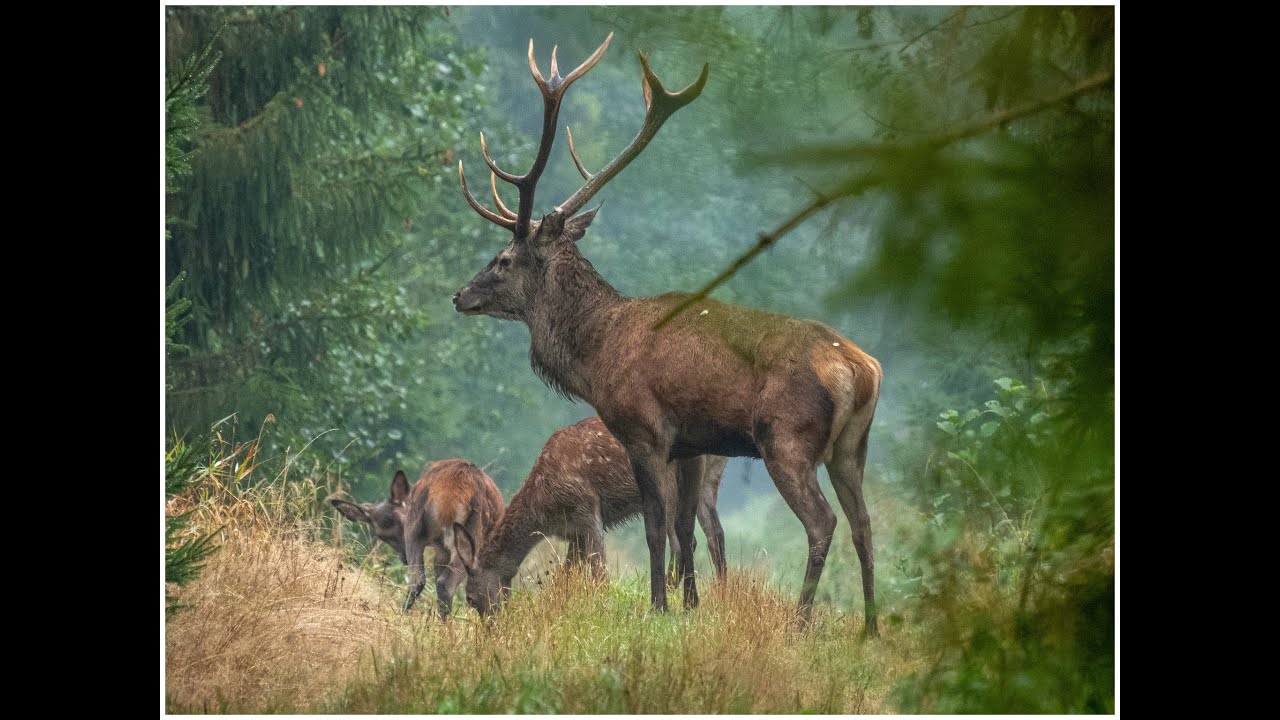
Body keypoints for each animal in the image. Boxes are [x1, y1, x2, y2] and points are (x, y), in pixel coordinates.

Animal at [331, 459, 504, 618]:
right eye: (382, 536)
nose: (404, 558)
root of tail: (449, 495)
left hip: (416, 527)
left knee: (417, 579)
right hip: (470, 534)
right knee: (445, 583)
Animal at [451, 416, 729, 615]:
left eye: (470, 598)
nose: (492, 627)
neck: (545, 510)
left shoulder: (587, 506)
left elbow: (598, 569)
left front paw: (603, 605)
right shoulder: (574, 531)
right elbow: (567, 573)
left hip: (669, 484)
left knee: (683, 540)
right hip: (710, 478)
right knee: (715, 533)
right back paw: (721, 590)